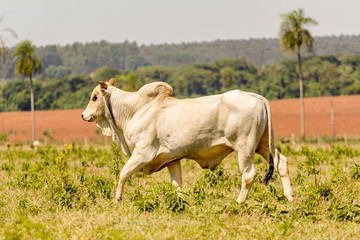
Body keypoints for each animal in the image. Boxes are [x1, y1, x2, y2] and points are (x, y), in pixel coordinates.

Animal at [81, 79, 292, 202]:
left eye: (95, 97)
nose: (83, 115)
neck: (137, 109)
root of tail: (255, 96)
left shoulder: (143, 153)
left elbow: (123, 173)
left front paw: (117, 199)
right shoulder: (172, 159)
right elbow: (178, 185)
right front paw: (182, 203)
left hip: (245, 148)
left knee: (248, 175)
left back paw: (238, 203)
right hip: (264, 145)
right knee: (281, 163)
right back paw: (290, 198)